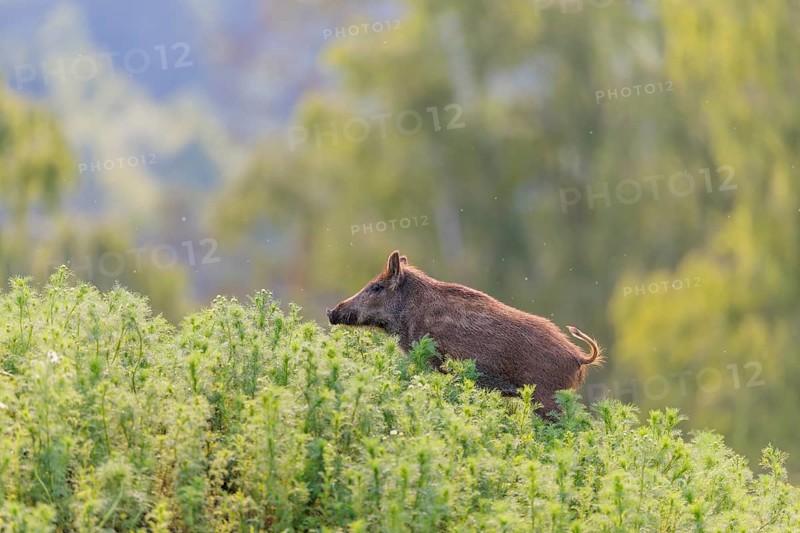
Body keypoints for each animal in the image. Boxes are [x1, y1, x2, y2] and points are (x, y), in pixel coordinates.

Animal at [326, 250, 603, 417]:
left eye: (376, 287)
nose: (331, 311)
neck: (409, 313)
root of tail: (578, 357)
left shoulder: (431, 361)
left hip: (547, 397)